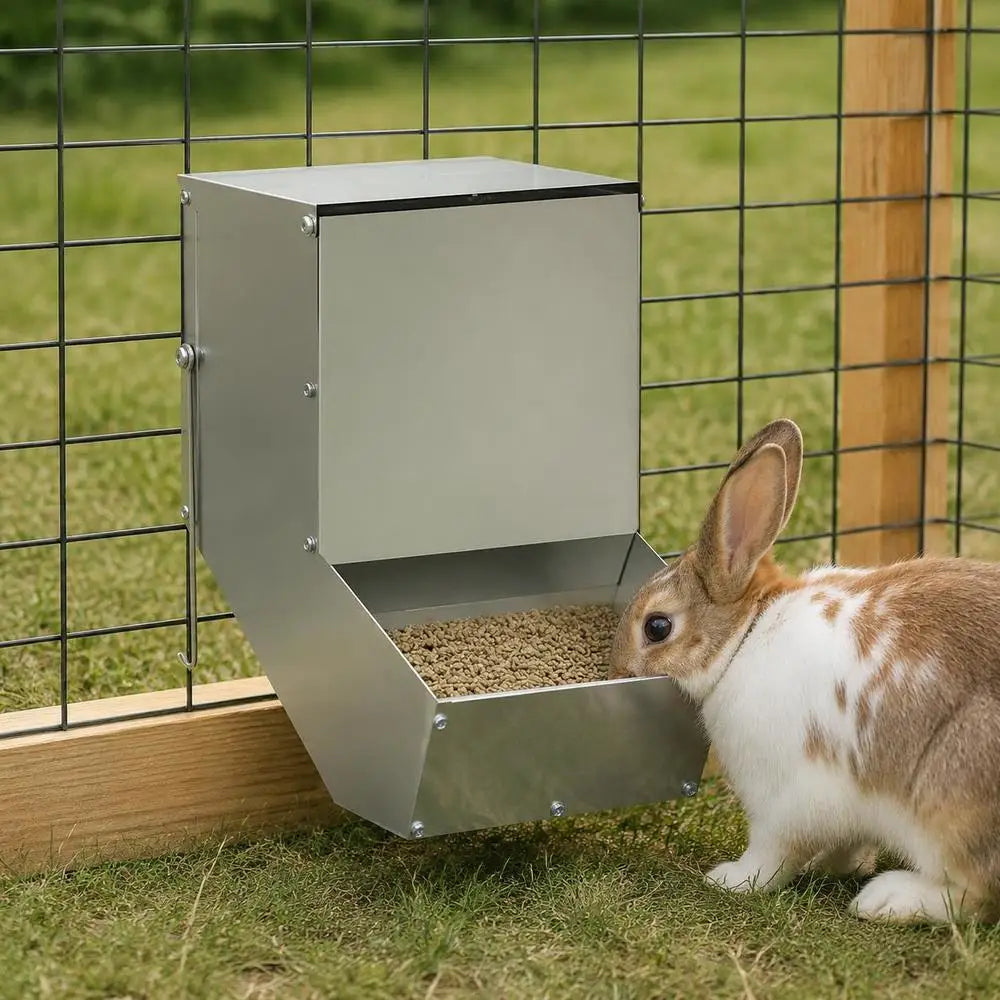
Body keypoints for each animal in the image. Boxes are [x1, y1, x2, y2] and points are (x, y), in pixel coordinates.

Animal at [609, 417, 1000, 924]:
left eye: (657, 627)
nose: (616, 668)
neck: (746, 635)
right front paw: (838, 864)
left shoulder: (783, 803)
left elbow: (772, 854)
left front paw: (730, 879)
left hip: (950, 801)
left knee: (977, 894)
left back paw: (888, 898)